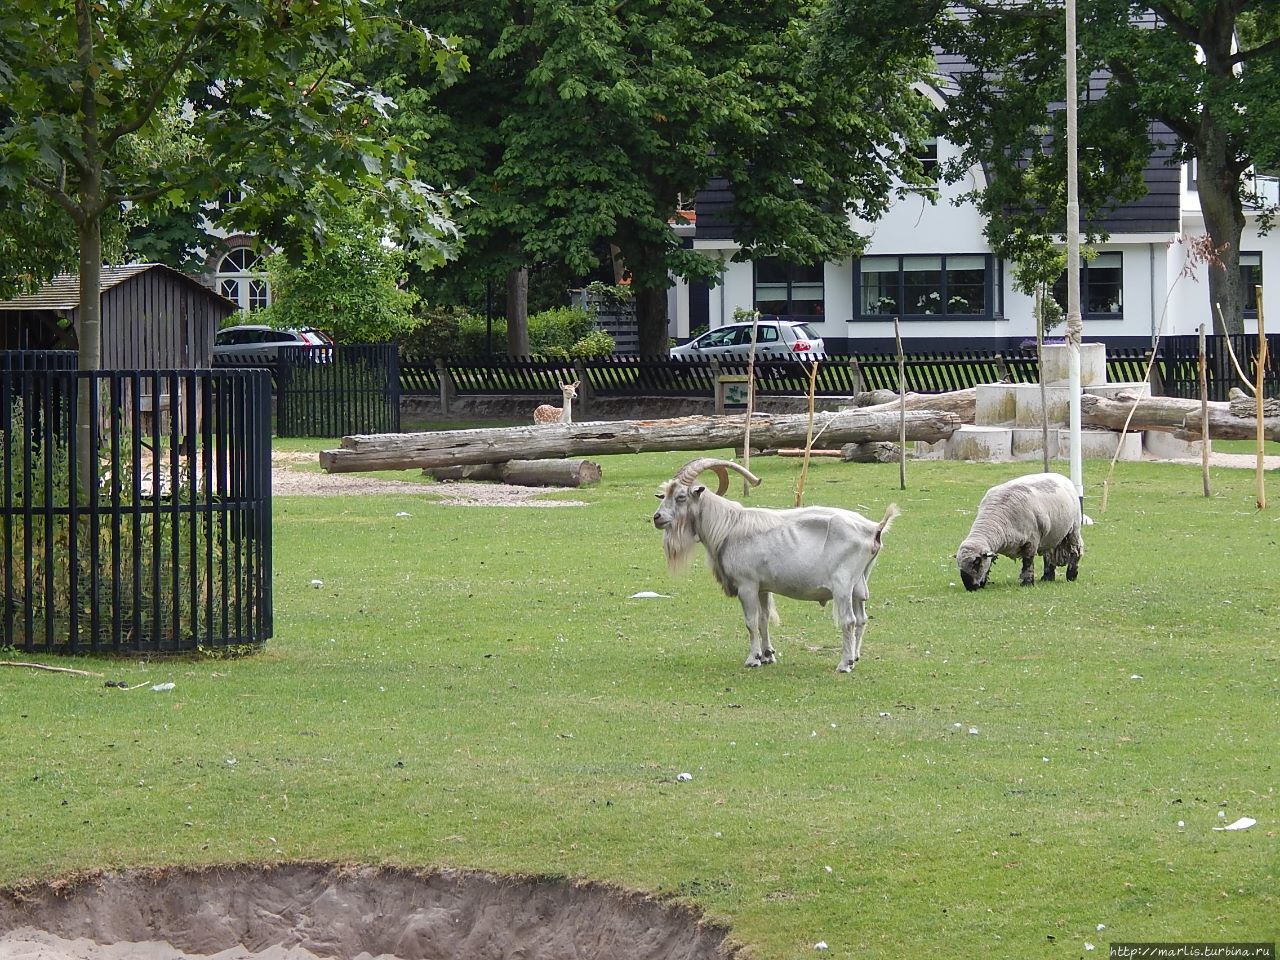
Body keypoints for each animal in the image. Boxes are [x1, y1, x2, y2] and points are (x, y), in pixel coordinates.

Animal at [655, 460, 896, 675]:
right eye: (664, 495)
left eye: (681, 496)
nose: (657, 517)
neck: (728, 526)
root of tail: (874, 528)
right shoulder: (763, 588)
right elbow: (764, 620)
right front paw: (768, 655)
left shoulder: (747, 585)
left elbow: (751, 621)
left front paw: (753, 659)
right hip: (859, 582)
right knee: (862, 618)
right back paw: (855, 657)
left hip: (843, 585)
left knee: (849, 621)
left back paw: (845, 664)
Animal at [957, 471, 1085, 591]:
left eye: (976, 562)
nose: (970, 587)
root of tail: (1060, 476)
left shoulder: (1031, 540)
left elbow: (1028, 562)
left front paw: (1027, 582)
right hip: (1051, 536)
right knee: (1048, 554)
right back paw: (1047, 577)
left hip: (1074, 528)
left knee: (1076, 549)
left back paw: (1071, 575)